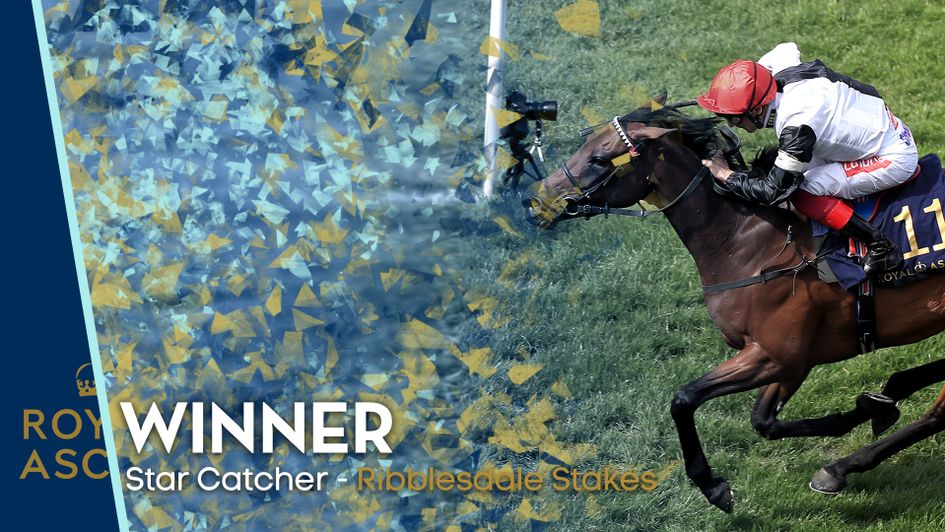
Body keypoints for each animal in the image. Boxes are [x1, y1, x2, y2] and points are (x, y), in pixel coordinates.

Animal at [522, 97, 945, 512]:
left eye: (598, 158)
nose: (536, 200)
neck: (746, 242)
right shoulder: (792, 360)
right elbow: (763, 421)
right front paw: (872, 408)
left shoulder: (775, 354)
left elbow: (684, 399)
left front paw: (712, 486)